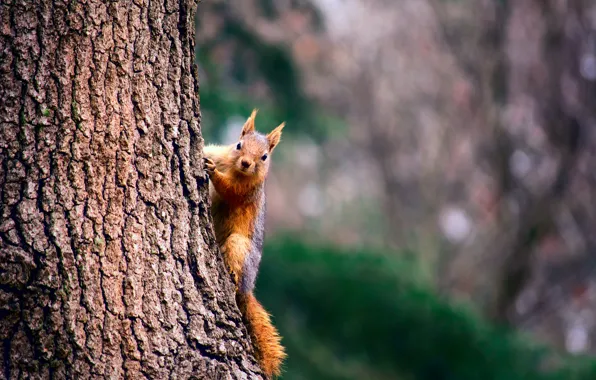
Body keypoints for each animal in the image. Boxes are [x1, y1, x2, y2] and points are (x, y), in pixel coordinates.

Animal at [203, 109, 286, 378]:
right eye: (238, 145)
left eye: (264, 156)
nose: (246, 163)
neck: (233, 168)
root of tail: (249, 288)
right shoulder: (220, 153)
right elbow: (209, 150)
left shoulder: (247, 190)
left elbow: (229, 190)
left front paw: (213, 173)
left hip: (239, 246)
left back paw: (232, 274)